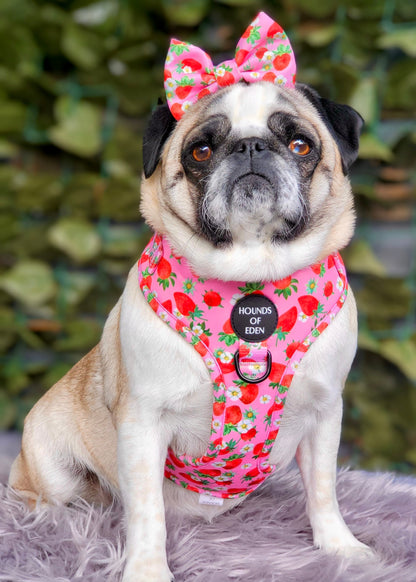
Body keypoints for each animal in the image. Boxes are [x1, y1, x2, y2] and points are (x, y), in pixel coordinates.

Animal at [8, 78, 370, 582]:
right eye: (201, 151)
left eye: (300, 144)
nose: (251, 146)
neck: (250, 281)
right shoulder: (142, 424)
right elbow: (147, 513)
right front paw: (147, 570)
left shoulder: (325, 413)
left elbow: (323, 490)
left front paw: (340, 548)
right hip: (50, 462)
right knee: (42, 498)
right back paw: (50, 521)